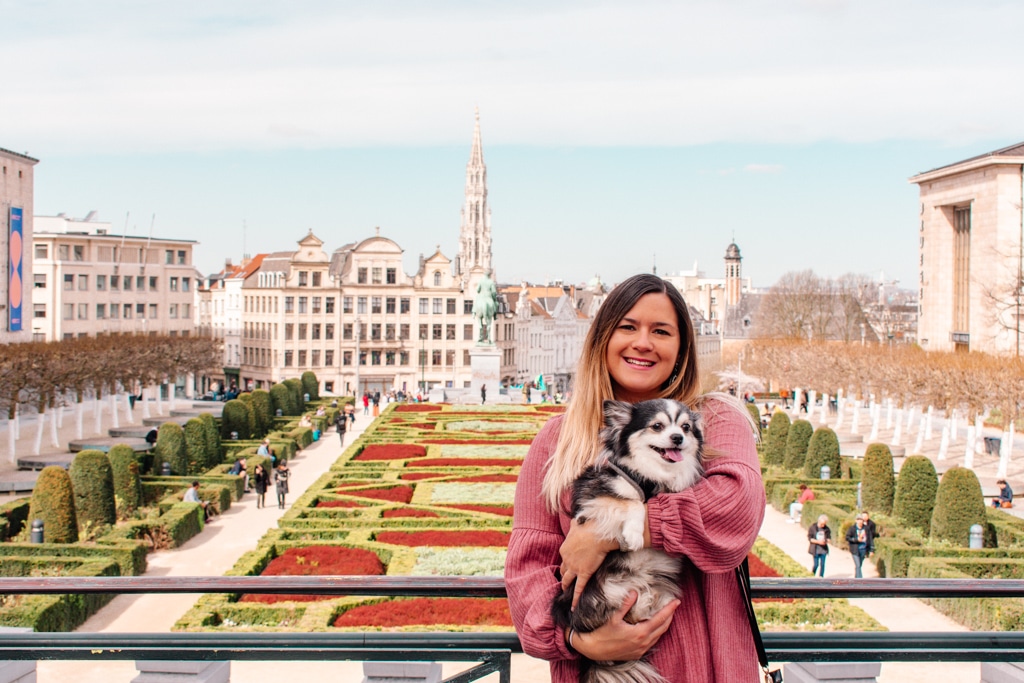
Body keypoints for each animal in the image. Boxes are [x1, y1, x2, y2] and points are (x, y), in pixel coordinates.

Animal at [552, 397, 704, 683]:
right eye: (657, 426)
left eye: (686, 427)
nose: (677, 438)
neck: (652, 475)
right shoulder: (597, 496)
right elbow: (633, 502)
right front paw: (633, 535)